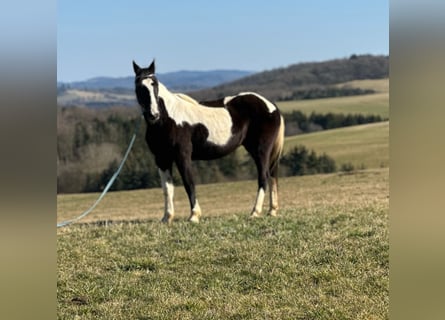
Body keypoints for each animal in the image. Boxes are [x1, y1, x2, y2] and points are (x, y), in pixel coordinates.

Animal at [132, 60, 284, 225]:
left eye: (155, 84)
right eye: (139, 86)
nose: (153, 115)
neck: (168, 118)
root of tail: (271, 106)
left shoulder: (182, 155)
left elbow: (188, 183)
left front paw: (194, 215)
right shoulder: (162, 159)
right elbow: (167, 188)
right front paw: (167, 217)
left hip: (261, 150)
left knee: (263, 177)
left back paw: (255, 212)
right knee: (272, 175)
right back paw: (272, 211)